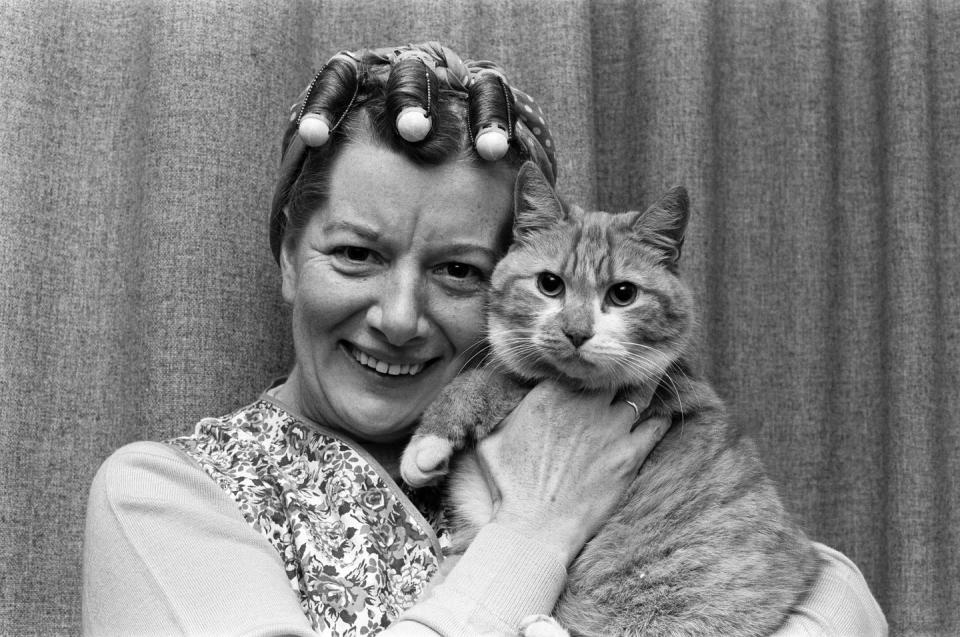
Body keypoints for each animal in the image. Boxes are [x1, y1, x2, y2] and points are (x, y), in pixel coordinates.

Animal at [398, 164, 816, 636]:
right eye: (549, 284)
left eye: (623, 294)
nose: (576, 332)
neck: (570, 384)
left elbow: (483, 379)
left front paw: (424, 447)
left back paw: (541, 626)